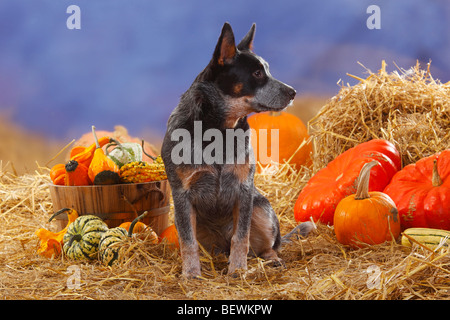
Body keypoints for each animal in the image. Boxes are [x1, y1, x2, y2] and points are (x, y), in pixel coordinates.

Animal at [162, 22, 312, 278]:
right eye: (257, 73)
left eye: (267, 70)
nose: (293, 92)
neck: (219, 131)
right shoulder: (182, 194)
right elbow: (187, 242)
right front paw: (191, 274)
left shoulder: (244, 189)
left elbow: (241, 237)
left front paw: (238, 270)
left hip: (261, 209)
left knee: (266, 246)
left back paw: (271, 259)